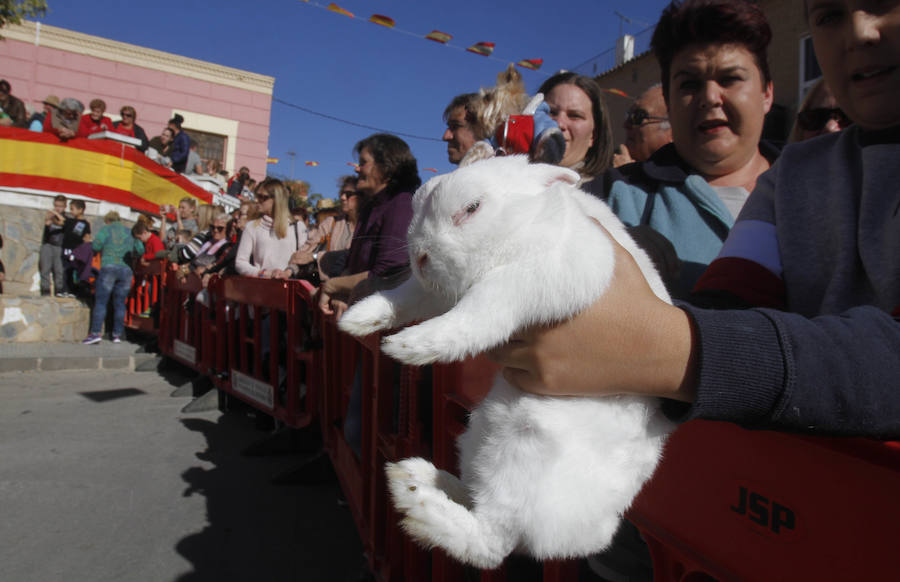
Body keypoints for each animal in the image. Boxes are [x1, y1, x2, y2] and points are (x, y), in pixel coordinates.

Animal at [340, 155, 676, 572]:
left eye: (471, 208)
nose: (419, 259)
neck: (526, 223)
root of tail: (589, 537)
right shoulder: (432, 292)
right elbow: (405, 297)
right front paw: (356, 319)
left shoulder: (536, 275)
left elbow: (483, 307)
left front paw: (410, 345)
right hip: (481, 437)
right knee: (477, 502)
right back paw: (419, 477)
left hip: (523, 455)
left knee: (492, 543)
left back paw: (417, 501)